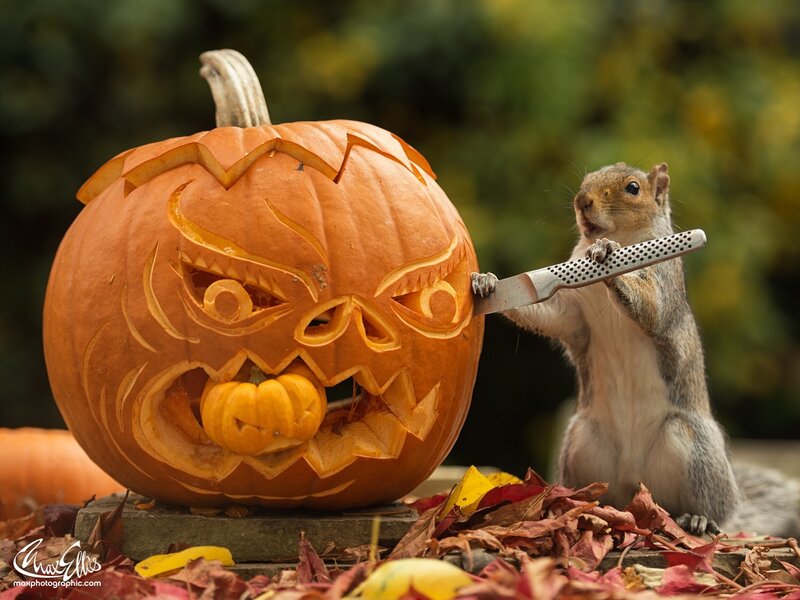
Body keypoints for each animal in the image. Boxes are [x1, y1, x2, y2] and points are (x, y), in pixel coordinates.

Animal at [471, 162, 800, 537]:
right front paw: (488, 282)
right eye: (585, 182)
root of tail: (633, 483)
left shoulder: (663, 279)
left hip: (694, 449)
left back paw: (699, 519)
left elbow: (652, 308)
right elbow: (551, 314)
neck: (628, 238)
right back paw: (580, 506)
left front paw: (608, 259)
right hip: (583, 442)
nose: (582, 201)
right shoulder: (573, 314)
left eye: (633, 188)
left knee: (713, 508)